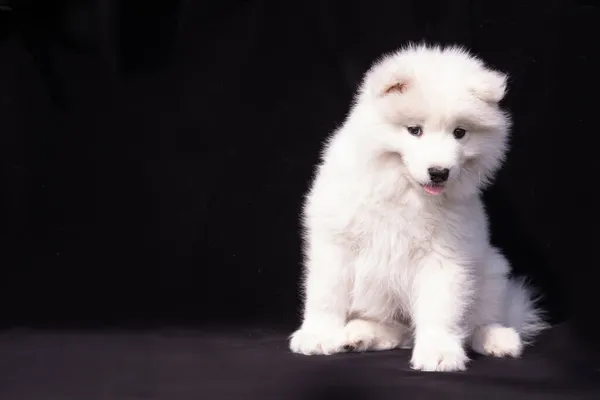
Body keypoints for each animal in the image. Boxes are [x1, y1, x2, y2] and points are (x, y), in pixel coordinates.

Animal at [290, 43, 548, 372]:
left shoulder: (445, 255)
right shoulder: (336, 242)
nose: (439, 172)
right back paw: (359, 335)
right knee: (399, 330)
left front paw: (439, 352)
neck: (402, 190)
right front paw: (319, 335)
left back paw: (498, 338)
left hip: (491, 270)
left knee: (479, 321)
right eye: (414, 130)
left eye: (460, 133)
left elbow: (441, 310)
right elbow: (326, 294)